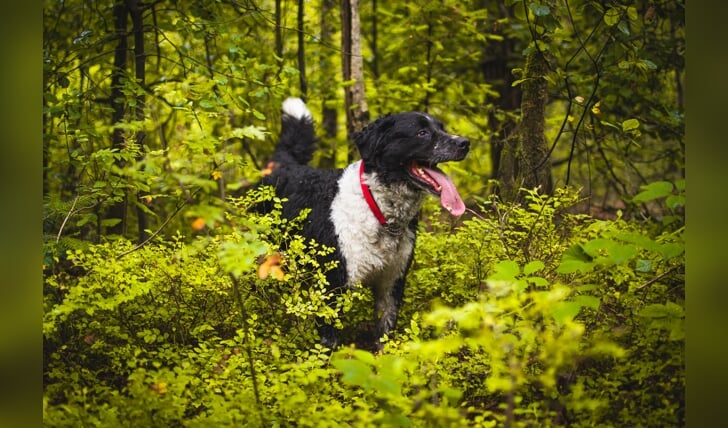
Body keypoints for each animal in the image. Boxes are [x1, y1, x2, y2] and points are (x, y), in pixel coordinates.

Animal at [258, 98, 470, 352]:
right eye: (422, 133)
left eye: (442, 128)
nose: (465, 143)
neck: (379, 210)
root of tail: (284, 164)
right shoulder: (332, 284)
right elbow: (329, 342)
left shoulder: (391, 281)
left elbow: (385, 333)